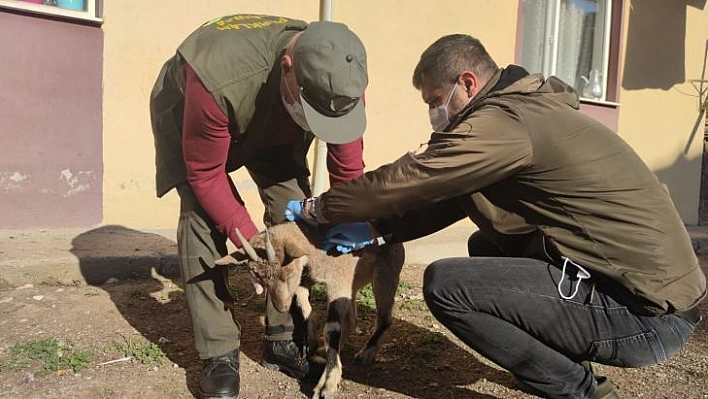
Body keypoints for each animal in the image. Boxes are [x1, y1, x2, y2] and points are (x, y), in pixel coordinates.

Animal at [214, 222, 404, 399]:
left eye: (286, 274)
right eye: (259, 278)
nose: (282, 307)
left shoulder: (338, 280)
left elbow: (330, 329)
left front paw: (326, 386)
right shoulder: (305, 282)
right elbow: (307, 312)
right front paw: (311, 343)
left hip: (386, 271)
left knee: (384, 318)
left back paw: (366, 353)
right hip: (356, 281)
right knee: (352, 320)